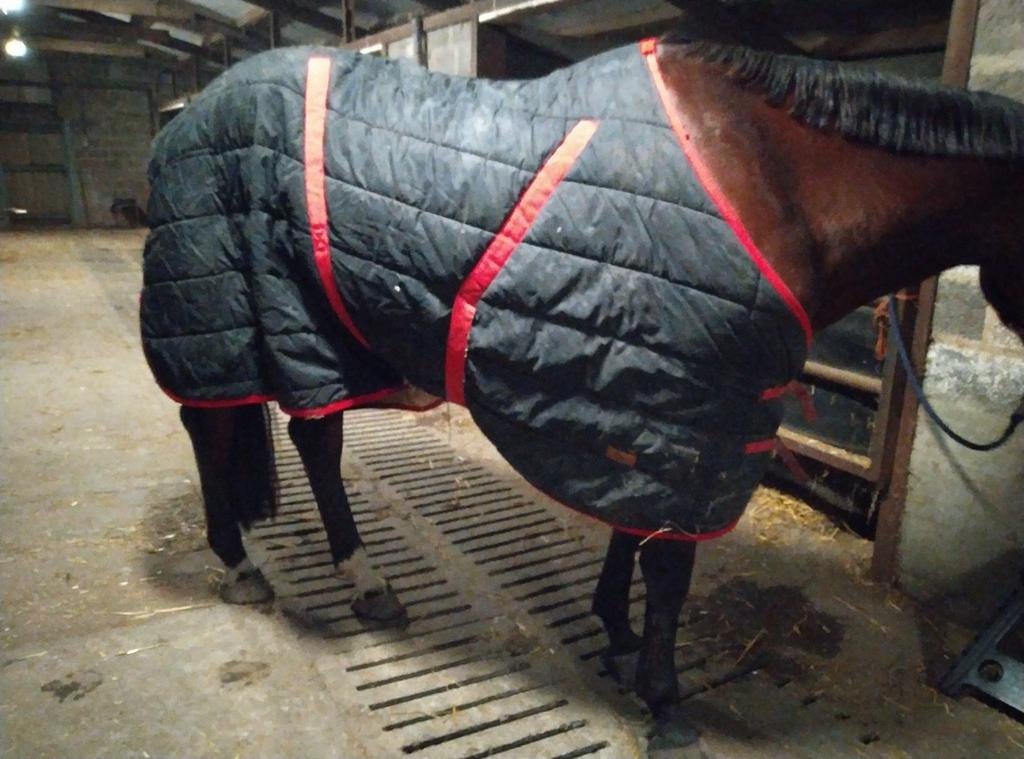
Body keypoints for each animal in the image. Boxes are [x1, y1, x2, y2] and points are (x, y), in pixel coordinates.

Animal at [139, 31, 1024, 758]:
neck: (770, 176)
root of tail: (188, 116)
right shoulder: (689, 408)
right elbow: (667, 564)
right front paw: (665, 706)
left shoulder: (644, 390)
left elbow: (631, 527)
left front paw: (618, 630)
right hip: (219, 311)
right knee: (209, 428)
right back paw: (240, 564)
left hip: (309, 325)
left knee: (315, 439)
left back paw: (367, 583)